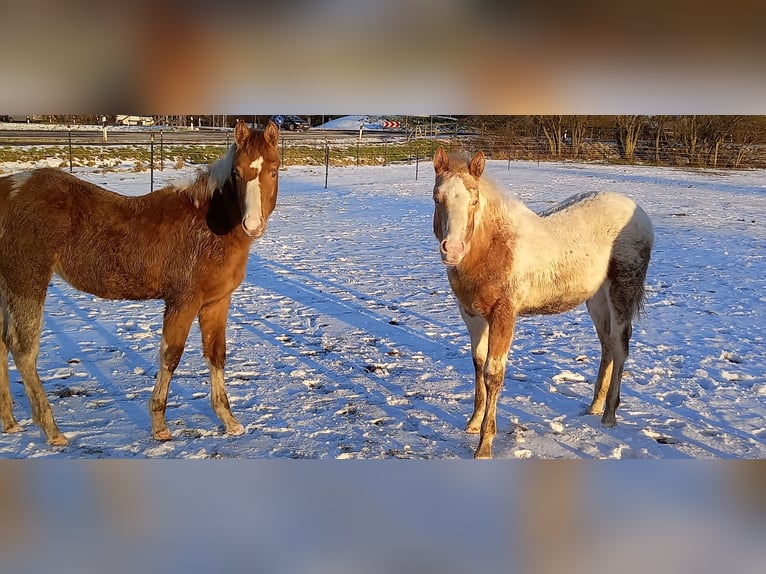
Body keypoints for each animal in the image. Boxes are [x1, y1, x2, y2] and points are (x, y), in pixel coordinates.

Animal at [0, 120, 280, 446]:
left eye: (273, 170)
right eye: (236, 172)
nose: (253, 225)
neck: (208, 225)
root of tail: (9, 188)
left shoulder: (216, 302)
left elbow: (216, 354)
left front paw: (230, 421)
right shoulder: (183, 301)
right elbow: (170, 356)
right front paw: (160, 425)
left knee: (3, 343)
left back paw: (11, 422)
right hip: (27, 281)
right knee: (23, 349)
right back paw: (52, 430)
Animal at [432, 147, 654, 458]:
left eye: (474, 200)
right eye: (436, 198)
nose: (452, 250)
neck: (494, 246)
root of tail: (640, 213)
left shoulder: (504, 315)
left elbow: (493, 373)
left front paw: (484, 446)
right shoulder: (472, 315)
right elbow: (477, 364)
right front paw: (473, 423)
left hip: (622, 290)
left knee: (621, 345)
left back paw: (609, 415)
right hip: (596, 299)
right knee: (607, 344)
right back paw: (594, 407)